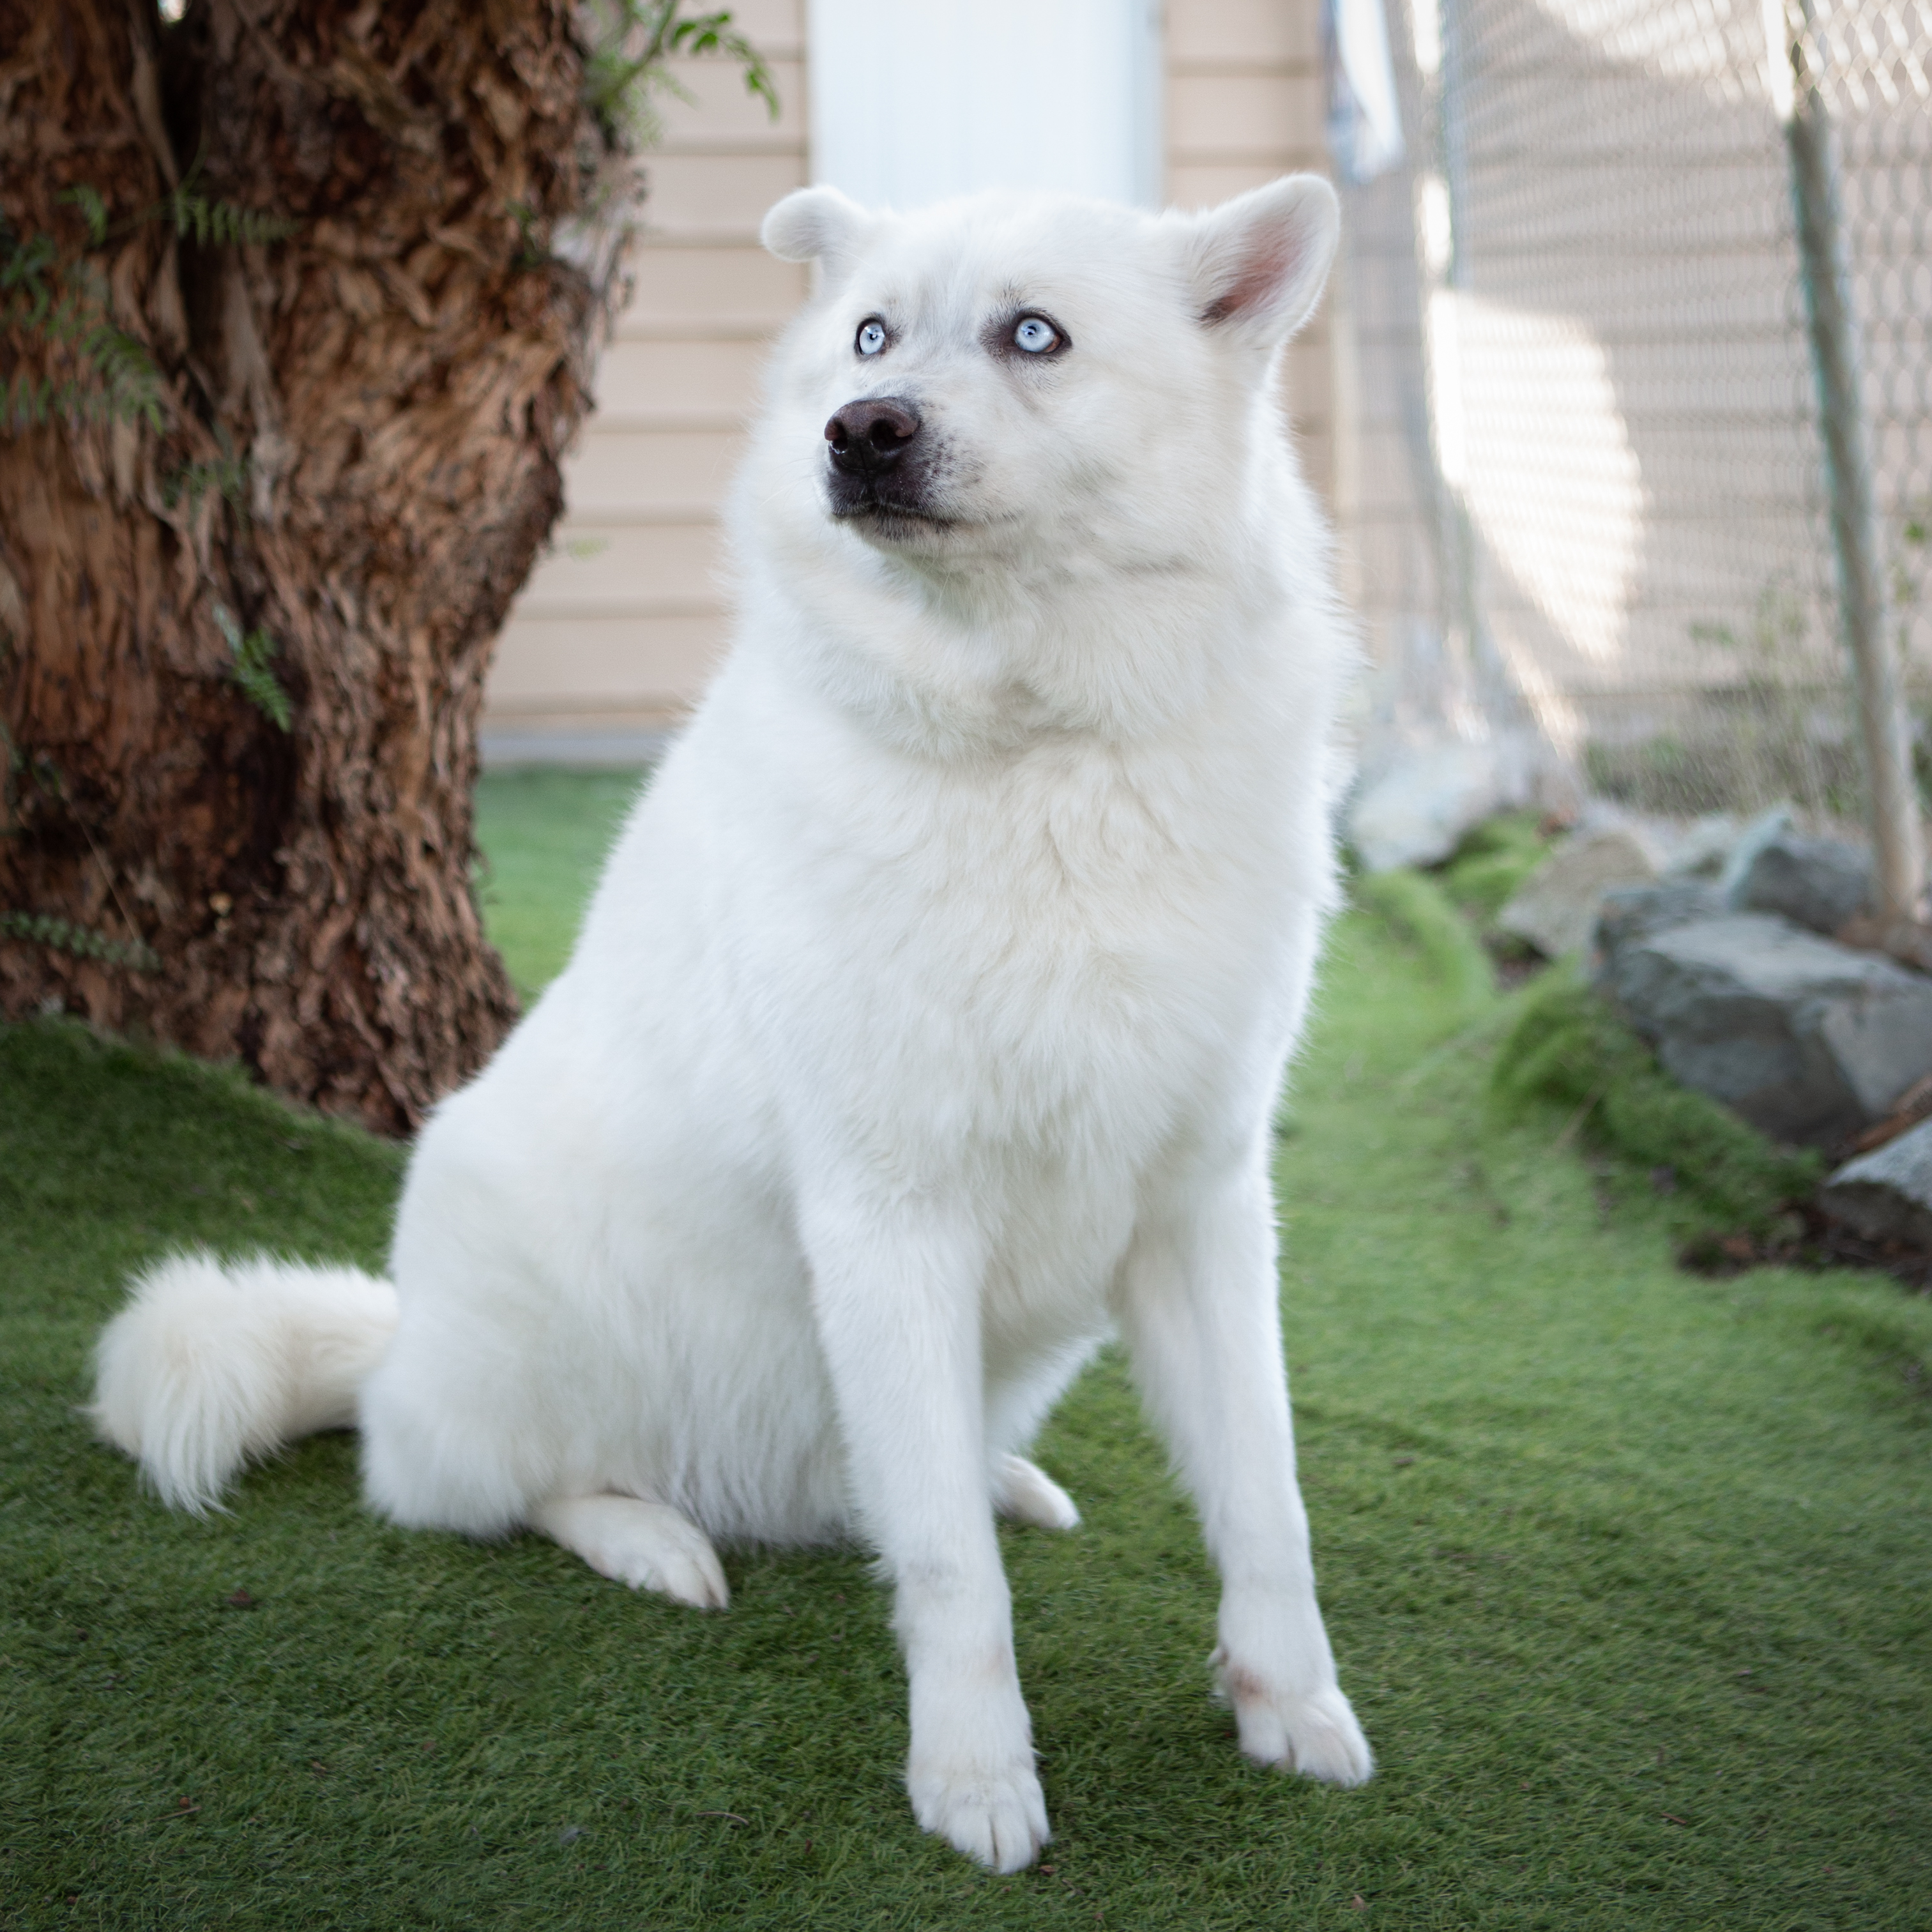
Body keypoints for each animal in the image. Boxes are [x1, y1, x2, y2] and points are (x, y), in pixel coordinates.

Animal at [94, 174, 1375, 1862]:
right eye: (871, 335)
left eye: (1033, 335)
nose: (862, 431)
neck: (1040, 757)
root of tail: (394, 1341)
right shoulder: (890, 1217)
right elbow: (952, 1579)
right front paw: (975, 1783)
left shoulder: (1202, 1209)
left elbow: (1262, 1502)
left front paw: (1292, 1708)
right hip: (533, 1333)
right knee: (493, 1488)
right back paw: (655, 1542)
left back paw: (995, 1475)